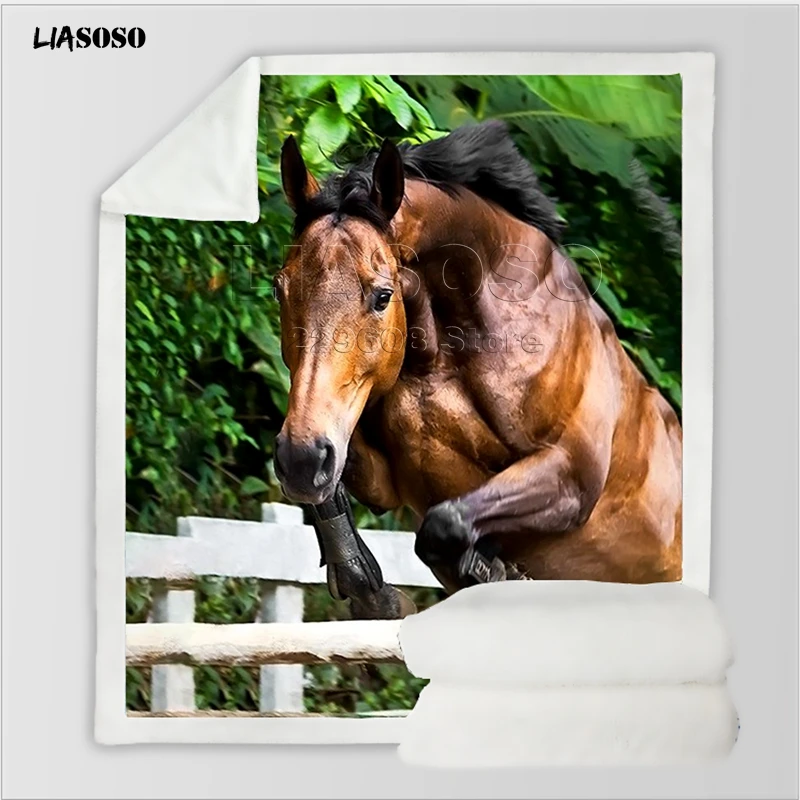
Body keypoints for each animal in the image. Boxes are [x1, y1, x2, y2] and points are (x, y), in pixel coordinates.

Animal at [272, 120, 682, 620]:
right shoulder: (373, 471)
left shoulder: (571, 477)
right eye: (280, 288)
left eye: (383, 295)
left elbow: (445, 524)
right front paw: (370, 589)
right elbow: (338, 490)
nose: (300, 458)